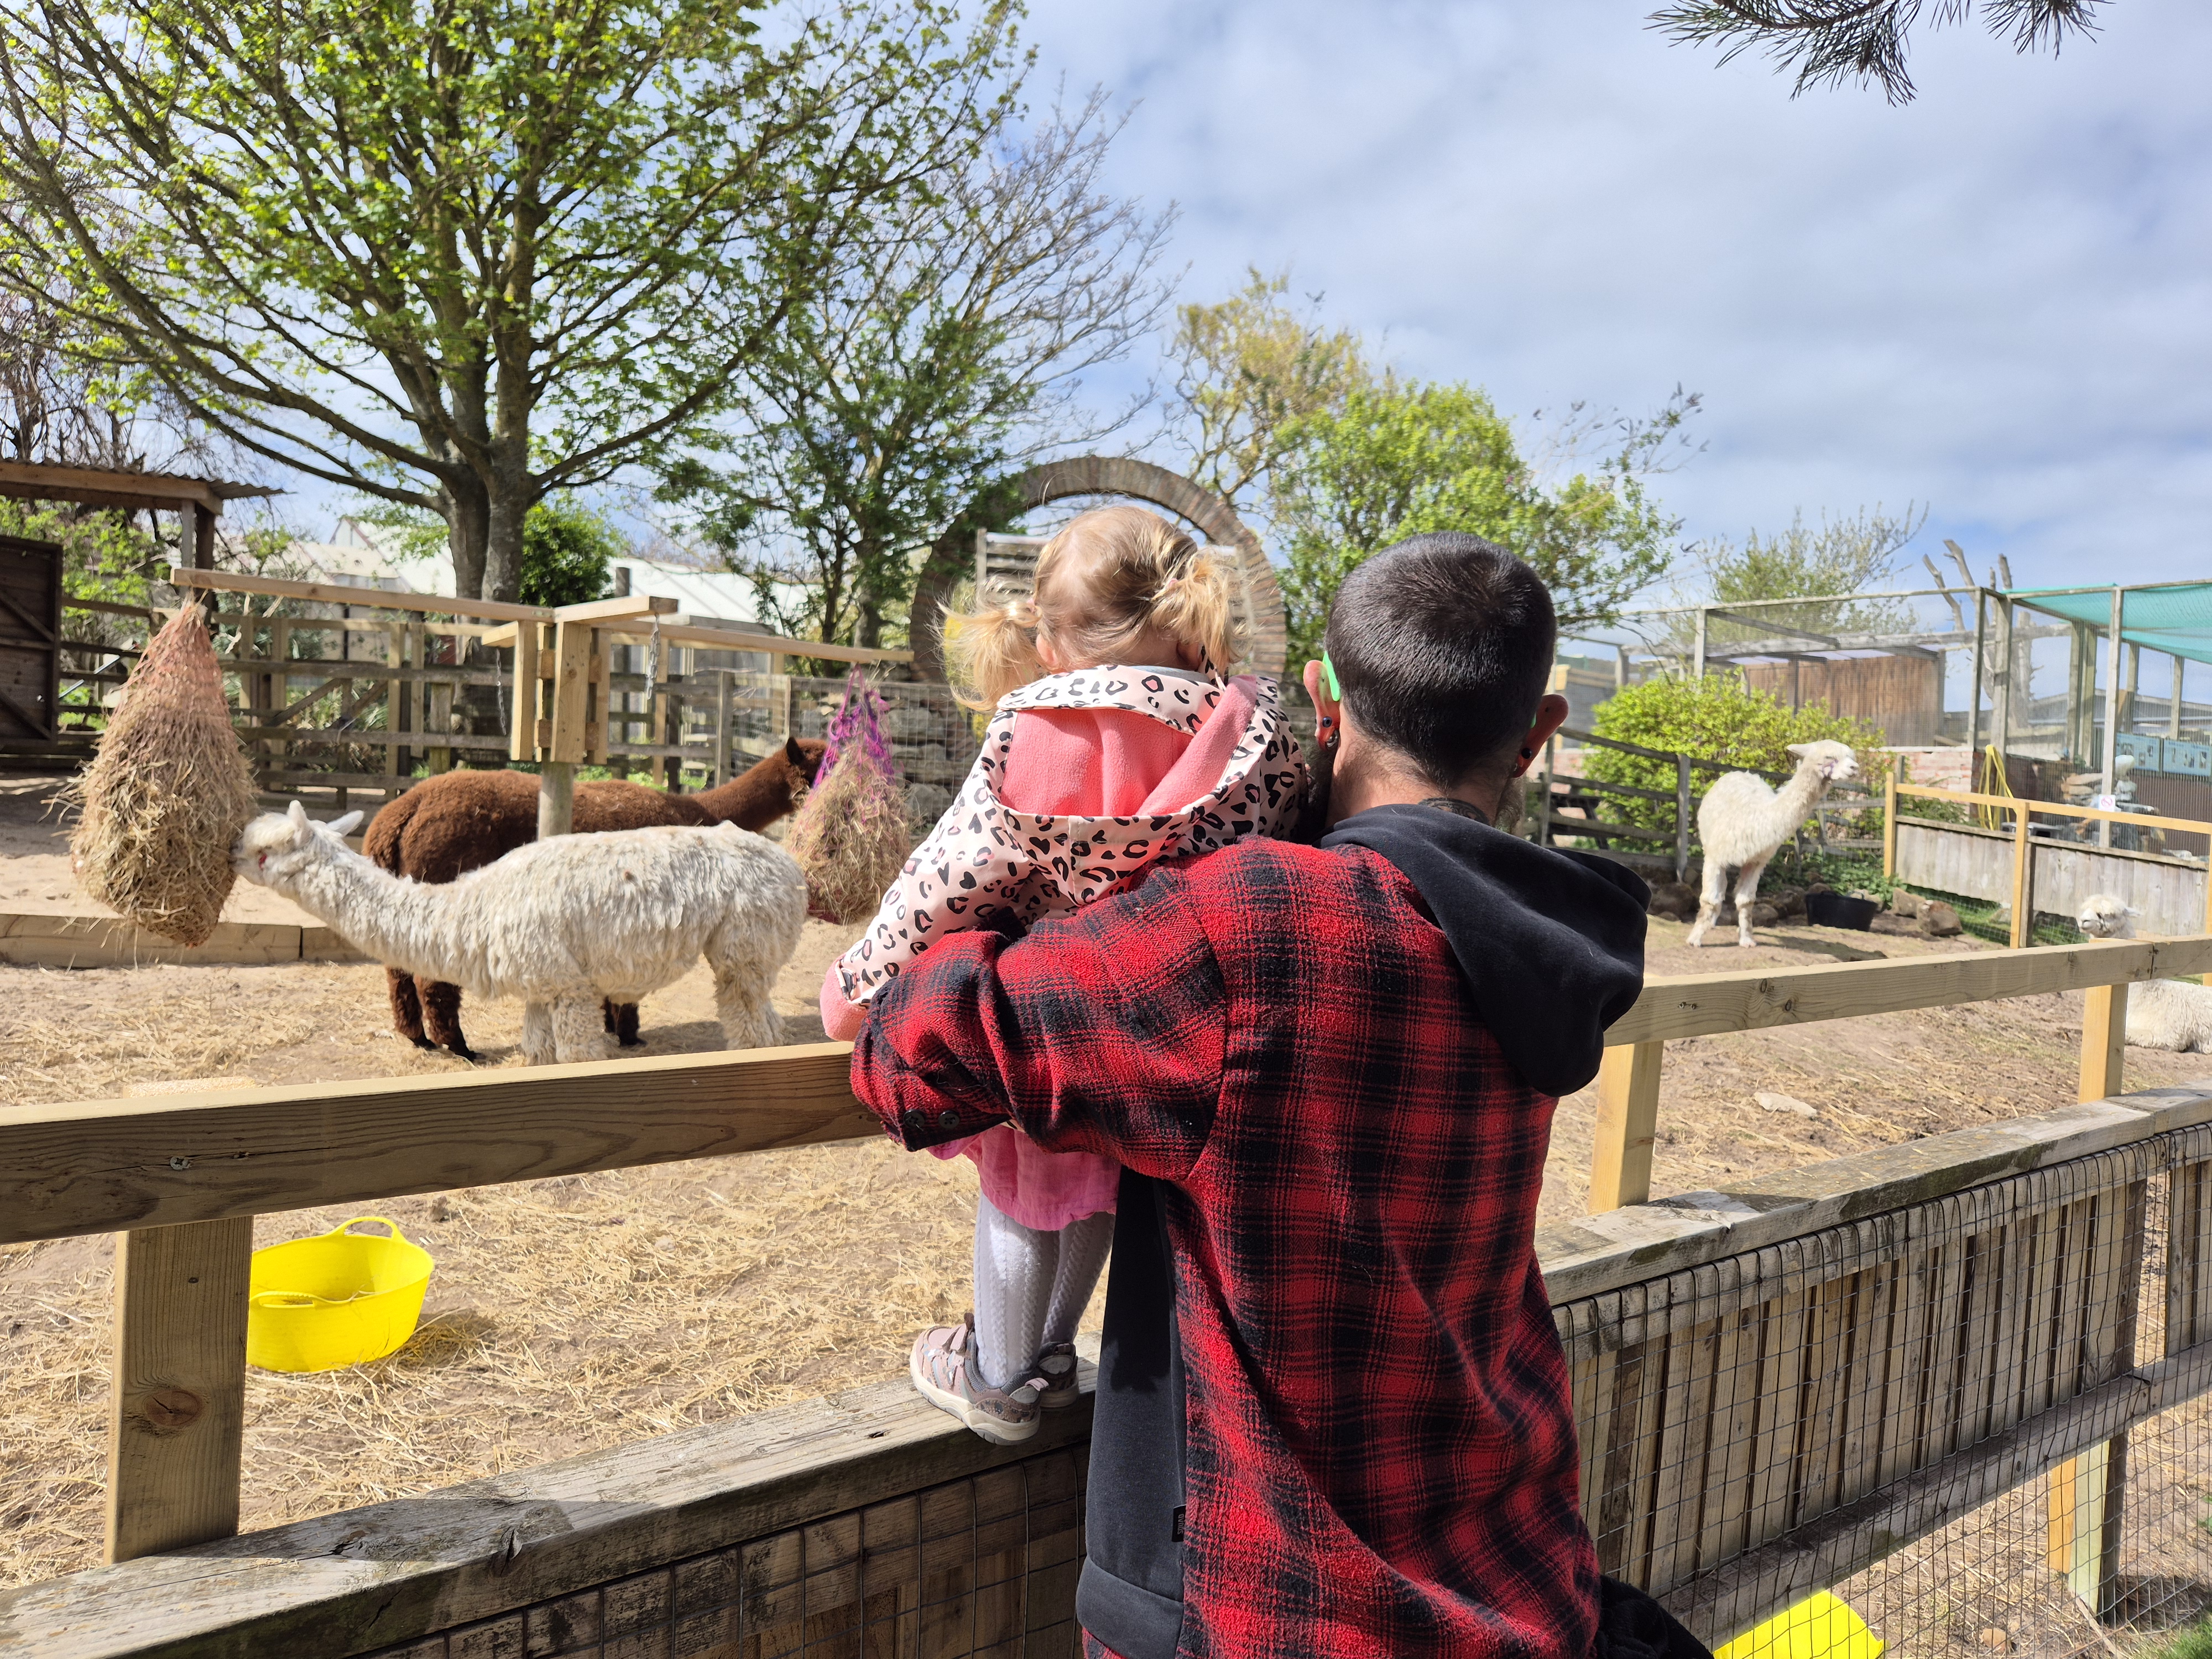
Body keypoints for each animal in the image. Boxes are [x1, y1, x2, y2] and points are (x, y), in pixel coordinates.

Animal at [235, 801, 806, 1064]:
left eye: (264, 851)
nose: (230, 853)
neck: (476, 908)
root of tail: (791, 866)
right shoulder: (541, 989)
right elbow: (537, 1055)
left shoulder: (571, 987)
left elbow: (578, 1057)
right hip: (750, 954)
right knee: (768, 1023)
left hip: (743, 945)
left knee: (752, 1025)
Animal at [365, 737, 825, 1059]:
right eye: (823, 763)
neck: (695, 812)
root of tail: (395, 818)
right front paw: (628, 1034)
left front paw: (611, 1026)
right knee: (431, 977)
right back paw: (460, 1047)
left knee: (398, 968)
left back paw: (419, 1039)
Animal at [1686, 740, 1862, 948]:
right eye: (1829, 757)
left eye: (1851, 756)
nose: (1855, 768)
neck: (1756, 818)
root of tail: (1740, 773)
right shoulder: (1715, 858)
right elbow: (1709, 899)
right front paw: (1694, 939)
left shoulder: (1756, 862)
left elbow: (1746, 901)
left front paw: (1747, 940)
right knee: (1717, 892)